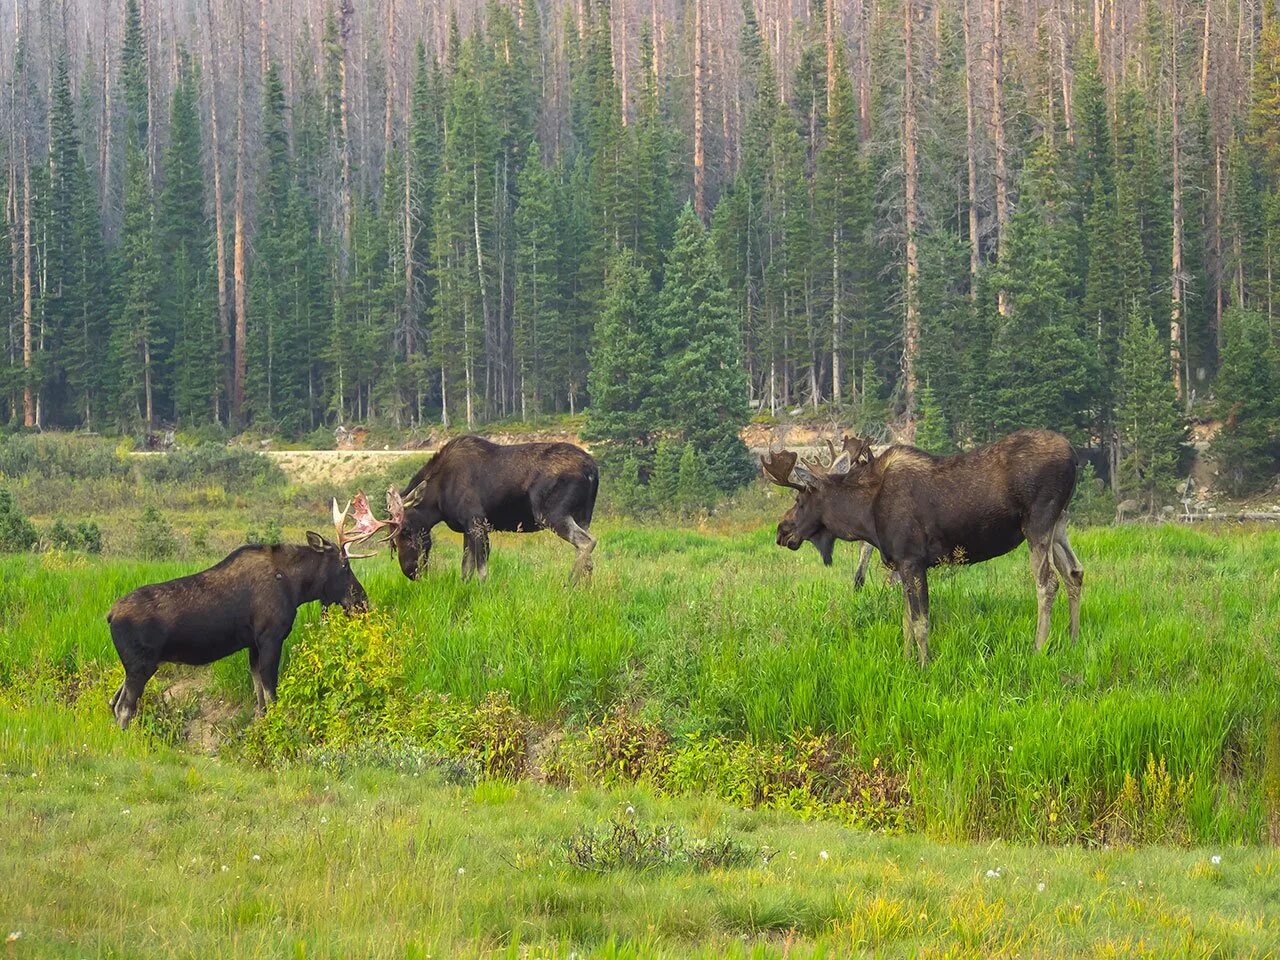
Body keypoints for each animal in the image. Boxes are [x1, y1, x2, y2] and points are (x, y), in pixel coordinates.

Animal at [103, 496, 384, 727]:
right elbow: (271, 692)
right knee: (125, 708)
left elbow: (259, 696)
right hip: (141, 665)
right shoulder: (270, 637)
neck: (296, 587)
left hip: (138, 666)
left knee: (114, 702)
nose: (362, 601)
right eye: (345, 565)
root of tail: (110, 616)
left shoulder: (253, 644)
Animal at [384, 437, 599, 586]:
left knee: (587, 542)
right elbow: (466, 570)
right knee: (588, 558)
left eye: (404, 530)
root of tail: (593, 469)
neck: (437, 501)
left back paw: (569, 585)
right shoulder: (467, 529)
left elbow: (482, 569)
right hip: (583, 516)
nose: (410, 571)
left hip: (551, 514)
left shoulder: (477, 522)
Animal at [762, 430, 1085, 665]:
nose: (781, 531)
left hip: (1038, 523)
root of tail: (1074, 455)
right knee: (1074, 573)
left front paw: (924, 664)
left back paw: (1038, 648)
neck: (864, 517)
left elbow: (920, 622)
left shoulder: (912, 560)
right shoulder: (900, 564)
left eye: (799, 500)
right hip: (1059, 523)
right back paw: (1072, 641)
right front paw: (907, 662)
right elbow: (906, 622)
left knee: (1048, 582)